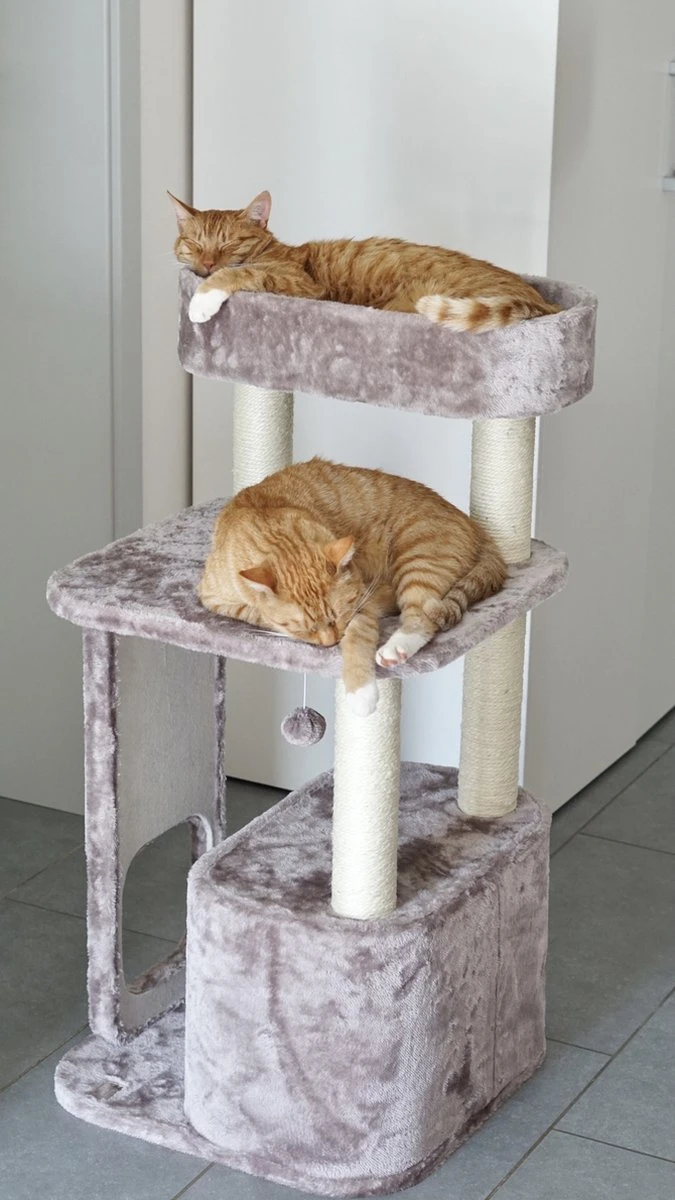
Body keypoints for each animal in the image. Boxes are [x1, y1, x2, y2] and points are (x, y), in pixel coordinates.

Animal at [170, 189, 559, 332]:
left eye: (230, 244)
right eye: (194, 244)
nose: (208, 264)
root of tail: (544, 302)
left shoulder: (301, 283)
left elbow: (243, 273)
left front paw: (202, 300)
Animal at [198, 459, 507, 716]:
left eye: (337, 616)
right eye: (306, 627)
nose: (329, 642)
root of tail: (478, 529)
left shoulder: (361, 604)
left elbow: (358, 637)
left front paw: (361, 694)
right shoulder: (211, 597)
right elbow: (255, 614)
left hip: (418, 559)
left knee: (422, 618)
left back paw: (396, 648)